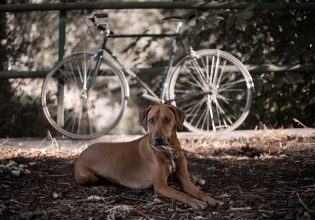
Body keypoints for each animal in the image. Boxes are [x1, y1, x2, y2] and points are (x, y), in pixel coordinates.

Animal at [74, 105, 217, 210]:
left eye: (167, 119)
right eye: (151, 120)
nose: (158, 139)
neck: (169, 152)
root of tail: (83, 152)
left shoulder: (185, 180)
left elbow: (199, 191)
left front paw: (210, 199)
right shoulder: (160, 186)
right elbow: (181, 194)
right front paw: (195, 202)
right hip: (86, 176)